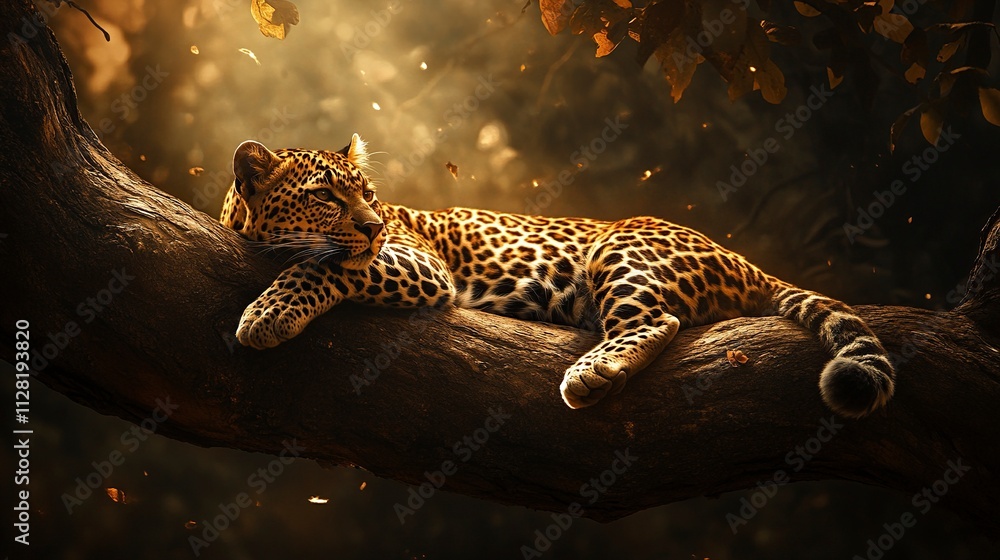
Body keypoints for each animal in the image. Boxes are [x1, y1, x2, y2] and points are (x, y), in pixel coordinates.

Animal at [220, 134, 896, 418]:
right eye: (324, 197)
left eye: (368, 195)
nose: (374, 226)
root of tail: (742, 258)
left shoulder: (419, 264)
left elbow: (322, 266)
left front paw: (268, 313)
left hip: (622, 247)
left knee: (658, 321)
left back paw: (594, 372)